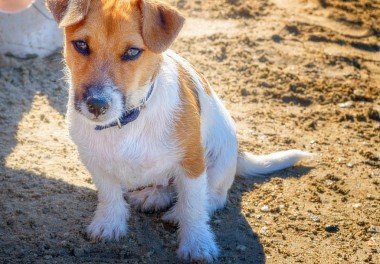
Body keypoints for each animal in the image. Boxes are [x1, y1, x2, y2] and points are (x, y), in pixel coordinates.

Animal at [46, 0, 310, 260]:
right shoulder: (94, 161)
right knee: (166, 186)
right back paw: (153, 196)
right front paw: (109, 224)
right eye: (81, 45)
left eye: (132, 52)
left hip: (218, 162)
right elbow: (109, 194)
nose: (97, 105)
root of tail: (238, 155)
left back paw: (176, 212)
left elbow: (193, 206)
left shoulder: (192, 162)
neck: (129, 120)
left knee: (212, 197)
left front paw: (196, 245)